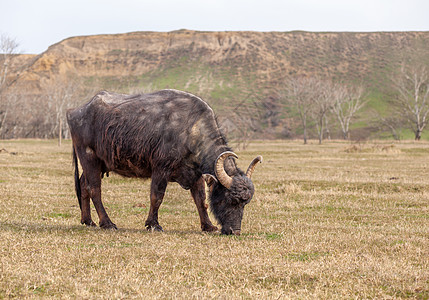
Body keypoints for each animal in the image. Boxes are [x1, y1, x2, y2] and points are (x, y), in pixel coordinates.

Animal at [67, 89, 260, 234]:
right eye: (230, 199)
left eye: (245, 203)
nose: (235, 231)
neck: (191, 130)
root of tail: (75, 112)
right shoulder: (161, 169)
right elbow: (157, 196)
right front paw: (153, 224)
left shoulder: (195, 174)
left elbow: (201, 200)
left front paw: (208, 225)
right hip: (89, 158)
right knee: (94, 189)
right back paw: (107, 223)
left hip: (100, 164)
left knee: (83, 185)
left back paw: (88, 220)